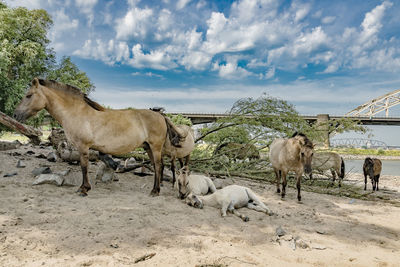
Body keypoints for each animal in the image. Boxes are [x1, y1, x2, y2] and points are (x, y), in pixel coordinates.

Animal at [12, 77, 181, 197]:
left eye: (28, 95)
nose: (15, 115)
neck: (76, 112)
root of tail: (160, 115)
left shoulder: (83, 147)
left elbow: (84, 167)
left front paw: (84, 189)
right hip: (148, 147)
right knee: (158, 167)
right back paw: (156, 189)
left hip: (155, 147)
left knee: (158, 166)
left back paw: (155, 191)